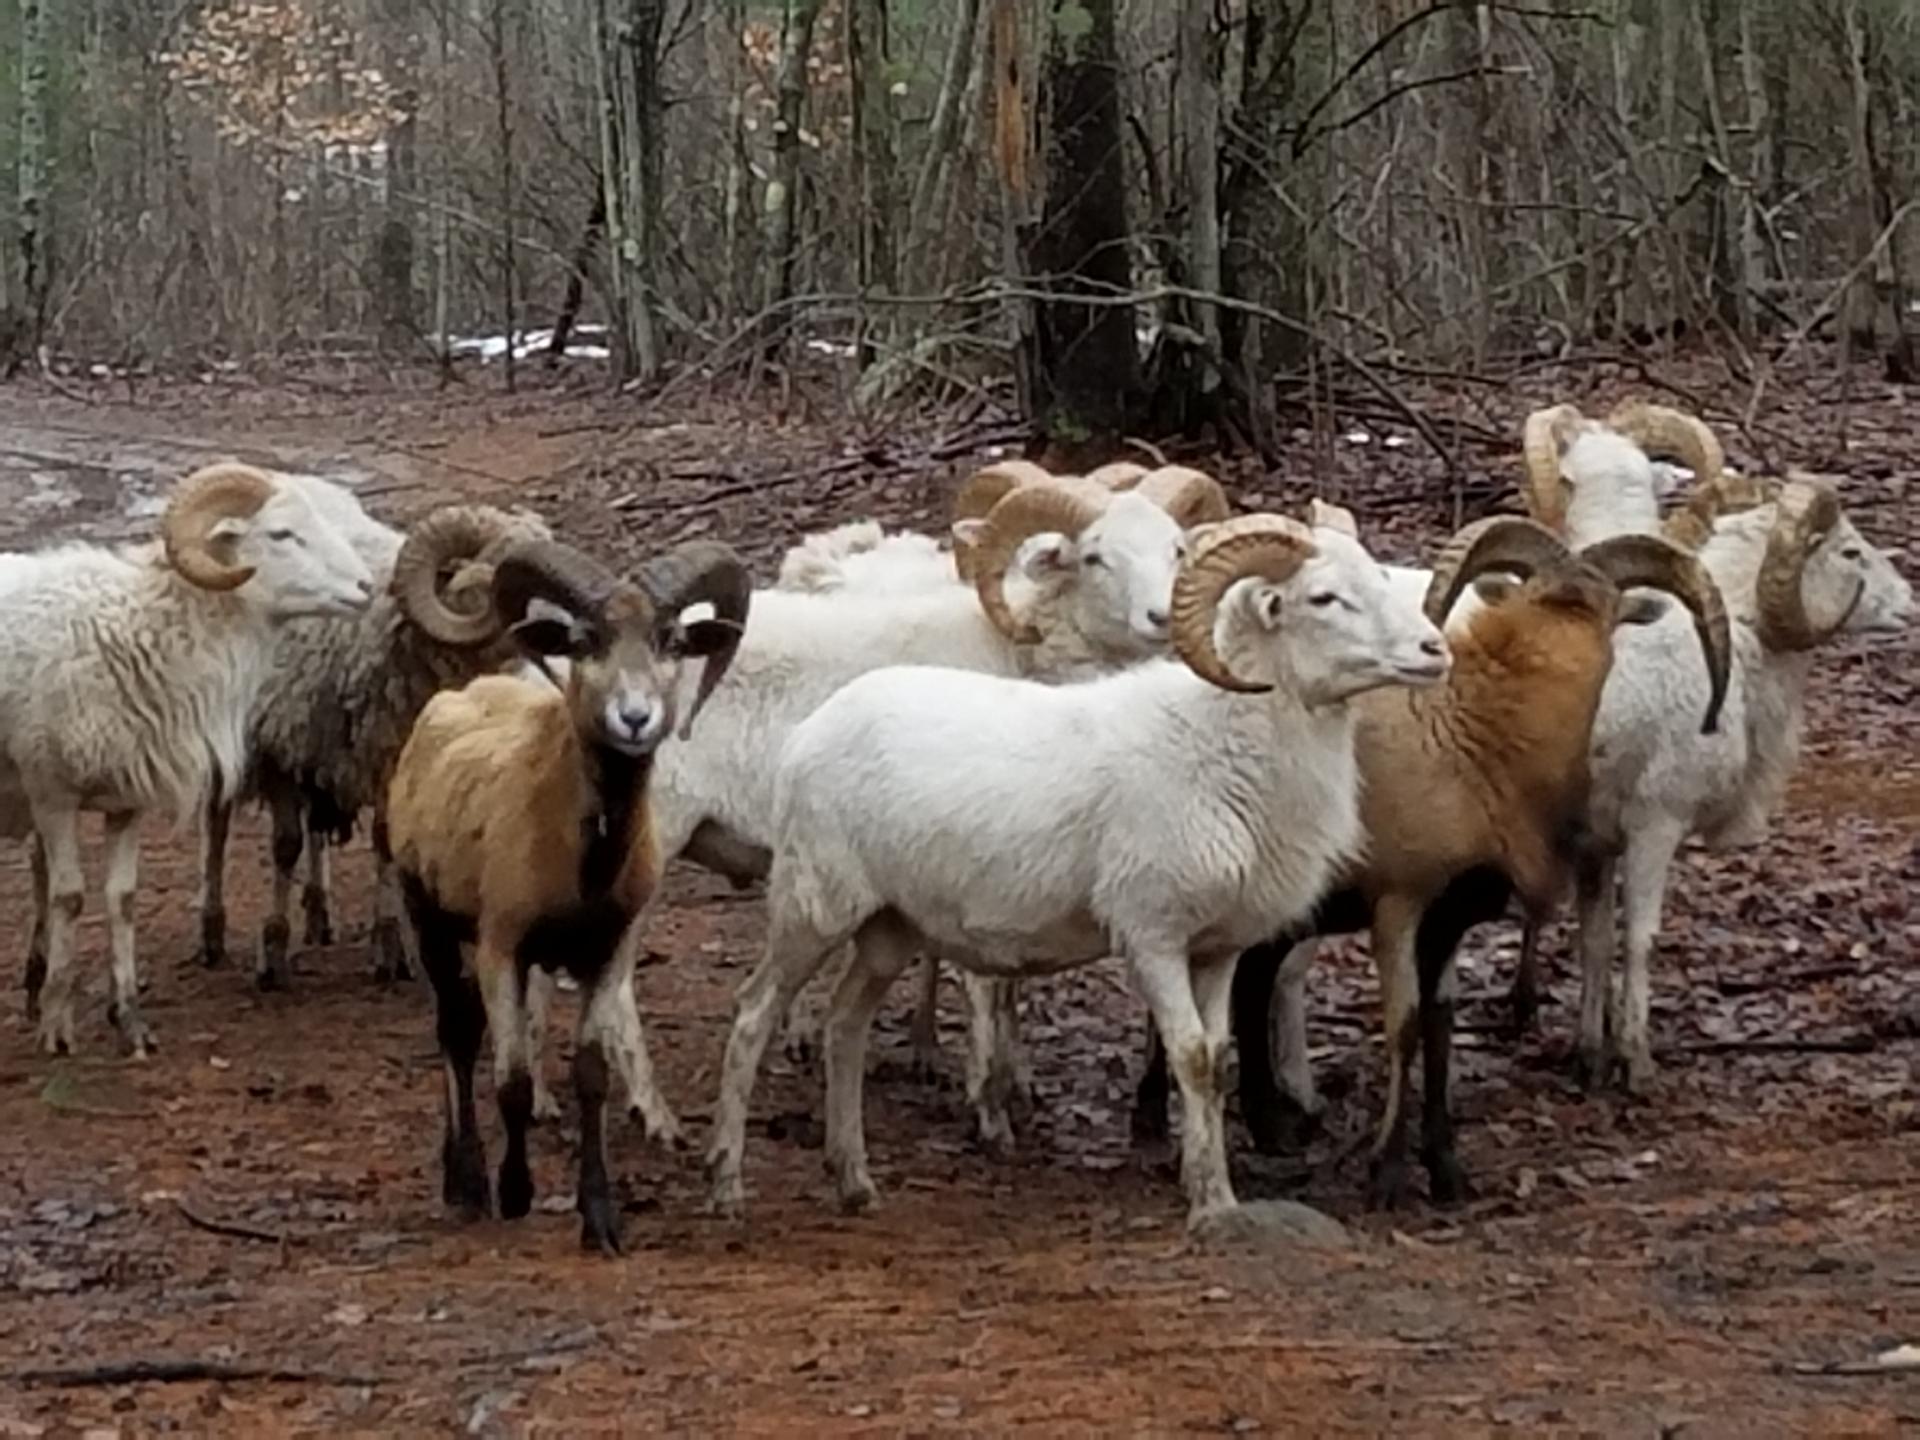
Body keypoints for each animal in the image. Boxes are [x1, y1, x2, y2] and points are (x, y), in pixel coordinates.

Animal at [6, 468, 374, 1052]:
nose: (366, 587)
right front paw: (58, 1026)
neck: (130, 630)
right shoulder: (53, 796)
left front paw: (130, 1020)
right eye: (282, 534)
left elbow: (122, 898)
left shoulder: (125, 801)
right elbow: (70, 897)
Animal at [702, 514, 1443, 1221]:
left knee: (845, 1025)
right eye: (1323, 597)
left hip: (890, 924)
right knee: (754, 1013)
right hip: (816, 901)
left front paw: (1208, 1181)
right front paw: (1210, 1200)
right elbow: (1191, 1056)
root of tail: (812, 730)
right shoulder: (1153, 935)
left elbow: (1217, 1060)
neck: (1221, 737)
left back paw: (853, 1179)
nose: (1435, 649)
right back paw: (727, 1182)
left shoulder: (1218, 947)